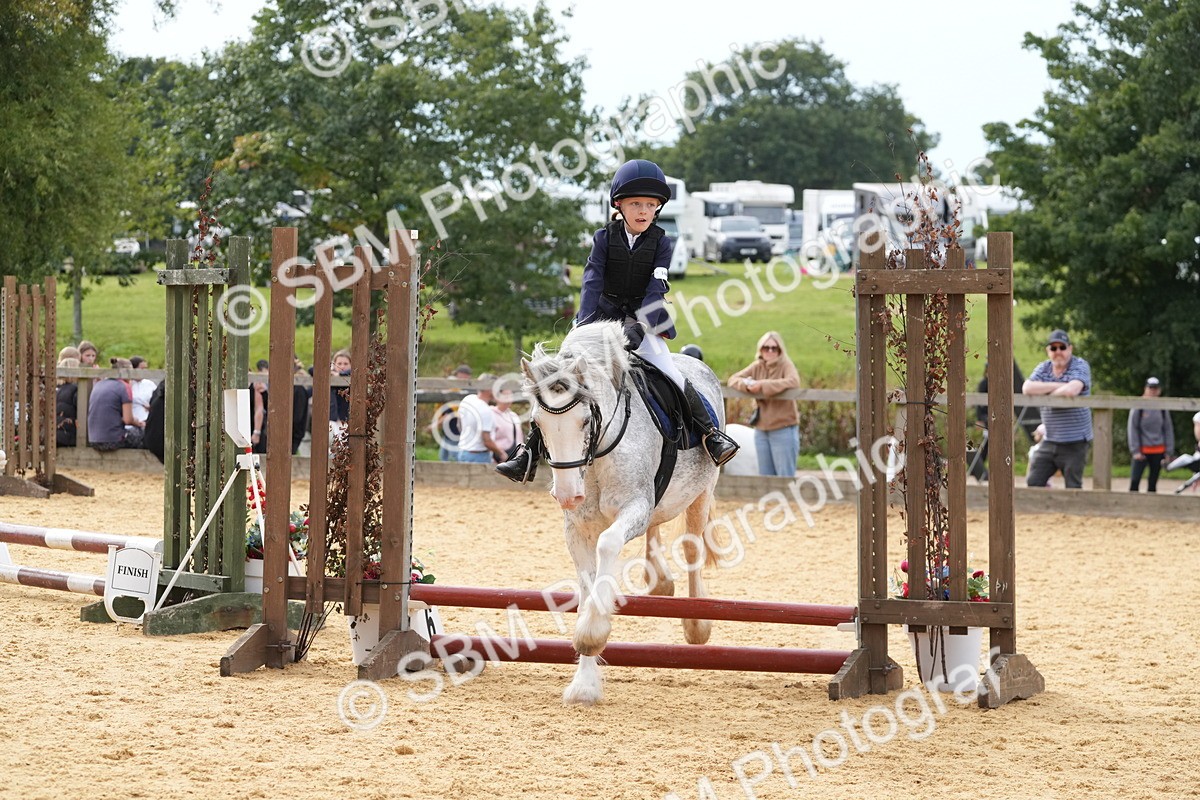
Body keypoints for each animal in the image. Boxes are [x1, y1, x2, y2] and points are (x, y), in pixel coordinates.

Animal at [521, 321, 722, 704]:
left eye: (586, 420)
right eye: (537, 423)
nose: (567, 495)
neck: (598, 454)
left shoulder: (634, 508)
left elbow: (609, 544)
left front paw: (592, 633)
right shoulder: (577, 528)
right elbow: (587, 587)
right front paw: (584, 684)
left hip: (701, 492)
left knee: (692, 547)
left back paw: (697, 625)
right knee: (657, 530)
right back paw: (660, 582)